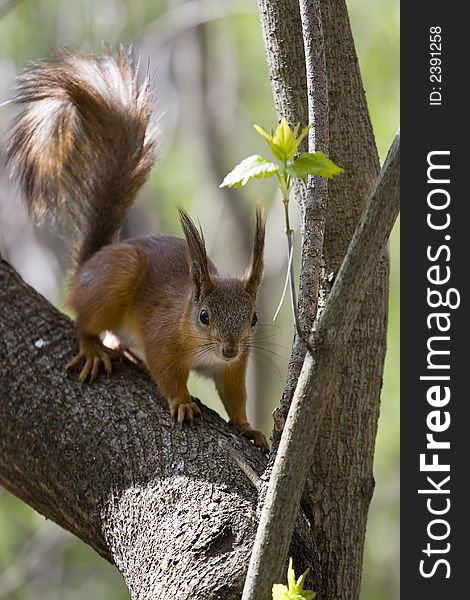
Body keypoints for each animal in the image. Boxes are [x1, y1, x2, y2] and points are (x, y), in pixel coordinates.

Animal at [5, 48, 268, 450]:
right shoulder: (163, 340)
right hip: (115, 278)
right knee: (85, 321)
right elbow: (167, 373)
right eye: (204, 316)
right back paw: (94, 348)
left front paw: (247, 426)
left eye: (253, 318)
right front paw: (183, 403)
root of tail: (88, 266)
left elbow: (235, 395)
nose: (230, 349)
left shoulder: (234, 368)